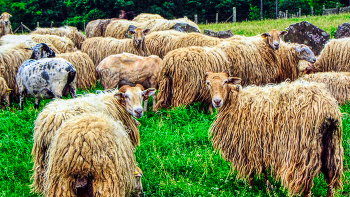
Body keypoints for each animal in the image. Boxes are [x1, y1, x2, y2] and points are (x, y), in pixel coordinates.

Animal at [206, 71, 344, 197]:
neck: (236, 101)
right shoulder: (260, 145)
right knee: (331, 177)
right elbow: (263, 168)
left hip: (302, 150)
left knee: (307, 183)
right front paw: (268, 187)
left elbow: (251, 171)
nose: (217, 101)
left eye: (225, 82)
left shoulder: (246, 146)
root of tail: (327, 108)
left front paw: (251, 188)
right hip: (332, 145)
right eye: (208, 83)